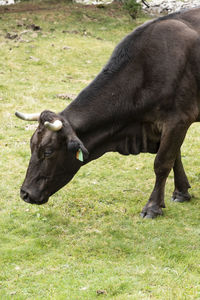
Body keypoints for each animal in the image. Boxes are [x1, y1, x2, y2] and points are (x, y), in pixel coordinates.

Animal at [15, 7, 200, 218]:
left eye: (48, 151)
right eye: (31, 145)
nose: (25, 193)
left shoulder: (178, 120)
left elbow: (162, 162)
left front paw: (153, 207)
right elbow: (175, 157)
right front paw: (182, 192)